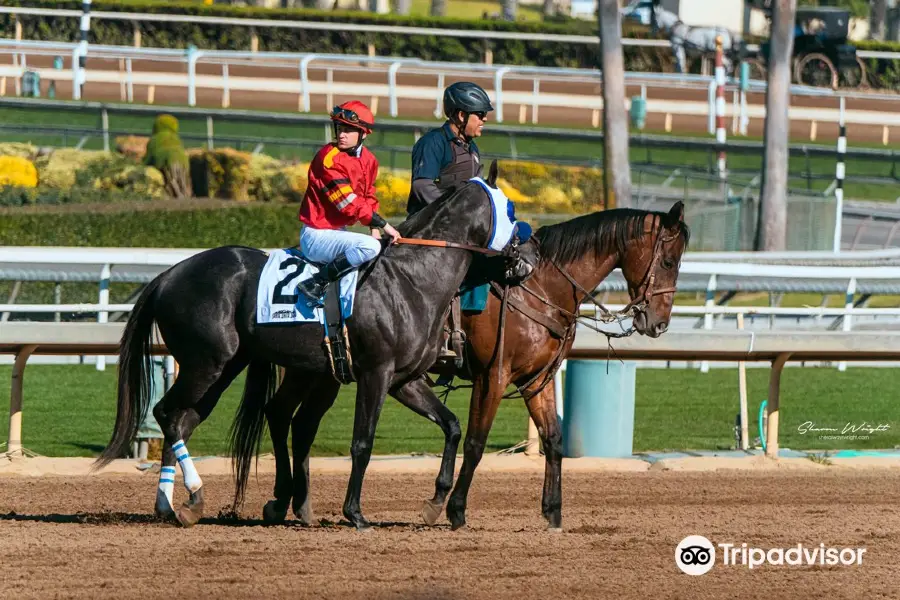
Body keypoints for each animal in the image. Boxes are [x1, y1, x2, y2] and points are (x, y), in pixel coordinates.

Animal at [95, 162, 510, 528]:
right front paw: (355, 513)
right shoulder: (376, 373)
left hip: (228, 367)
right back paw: (197, 494)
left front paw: (436, 502)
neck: (411, 278)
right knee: (168, 413)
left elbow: (452, 426)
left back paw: (179, 505)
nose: (520, 260)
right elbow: (362, 442)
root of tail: (167, 275)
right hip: (206, 364)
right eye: (510, 210)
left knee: (188, 420)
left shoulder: (403, 380)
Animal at [440, 202, 692, 528]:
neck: (538, 286)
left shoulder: (536, 379)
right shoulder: (492, 377)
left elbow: (553, 440)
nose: (660, 324)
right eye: (669, 262)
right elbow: (475, 442)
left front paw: (553, 510)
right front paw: (456, 508)